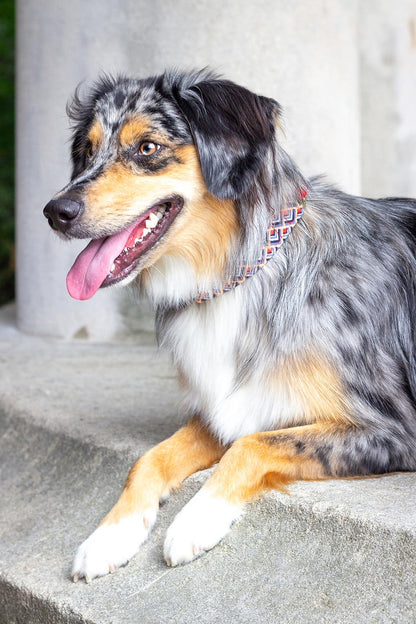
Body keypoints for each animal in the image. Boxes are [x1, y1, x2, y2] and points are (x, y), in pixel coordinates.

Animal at [43, 70, 416, 584]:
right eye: (86, 149)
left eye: (147, 147)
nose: (55, 212)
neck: (239, 276)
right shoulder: (227, 404)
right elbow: (148, 458)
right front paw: (109, 536)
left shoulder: (393, 428)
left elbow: (252, 445)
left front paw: (196, 520)